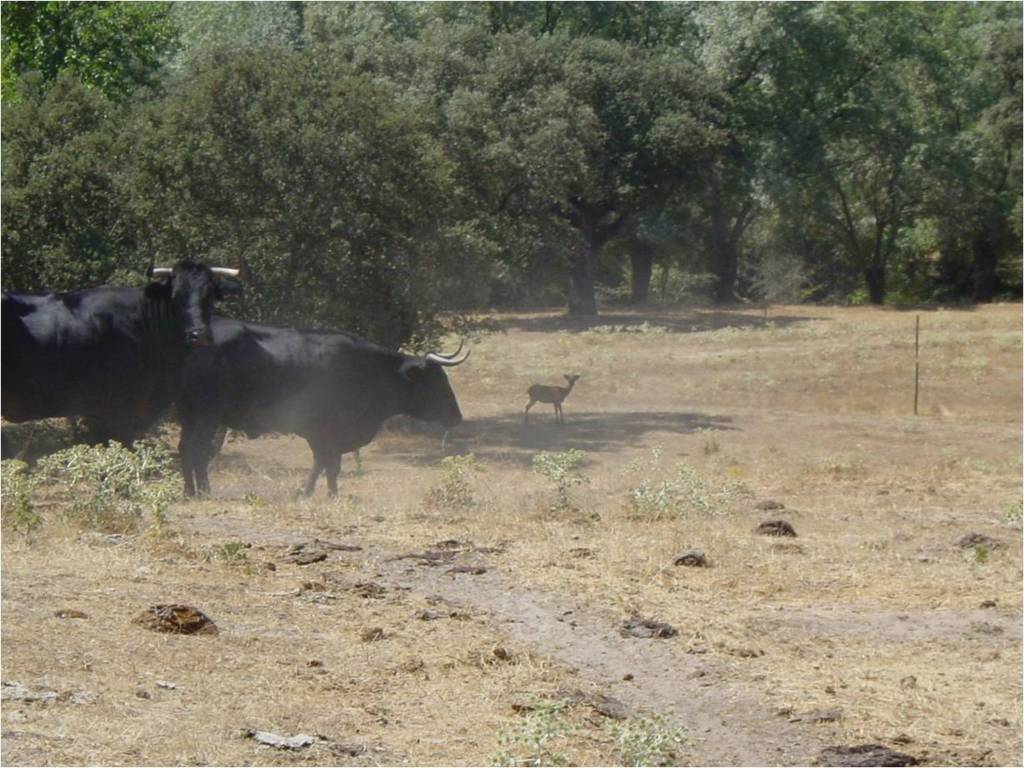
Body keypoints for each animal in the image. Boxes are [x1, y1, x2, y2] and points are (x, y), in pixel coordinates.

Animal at [177, 317, 468, 499]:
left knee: (184, 449)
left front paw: (319, 492)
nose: (456, 417)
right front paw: (319, 493)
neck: (365, 369)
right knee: (198, 451)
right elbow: (327, 463)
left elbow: (326, 464)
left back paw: (189, 491)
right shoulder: (324, 431)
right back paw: (203, 491)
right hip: (207, 416)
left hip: (190, 417)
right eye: (436, 382)